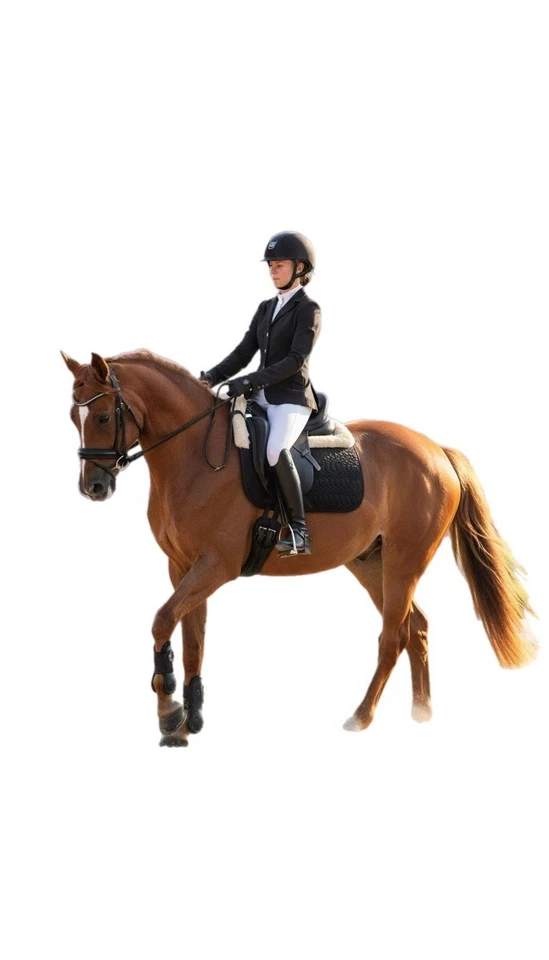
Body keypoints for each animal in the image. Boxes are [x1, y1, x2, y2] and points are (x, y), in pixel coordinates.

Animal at [62, 349, 537, 746]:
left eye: (101, 416)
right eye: (72, 416)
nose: (93, 487)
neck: (194, 456)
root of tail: (437, 449)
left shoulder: (216, 566)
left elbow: (163, 621)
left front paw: (168, 713)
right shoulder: (182, 567)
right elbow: (192, 638)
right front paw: (187, 723)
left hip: (404, 562)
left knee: (393, 637)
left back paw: (360, 717)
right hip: (372, 563)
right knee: (415, 627)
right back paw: (421, 715)